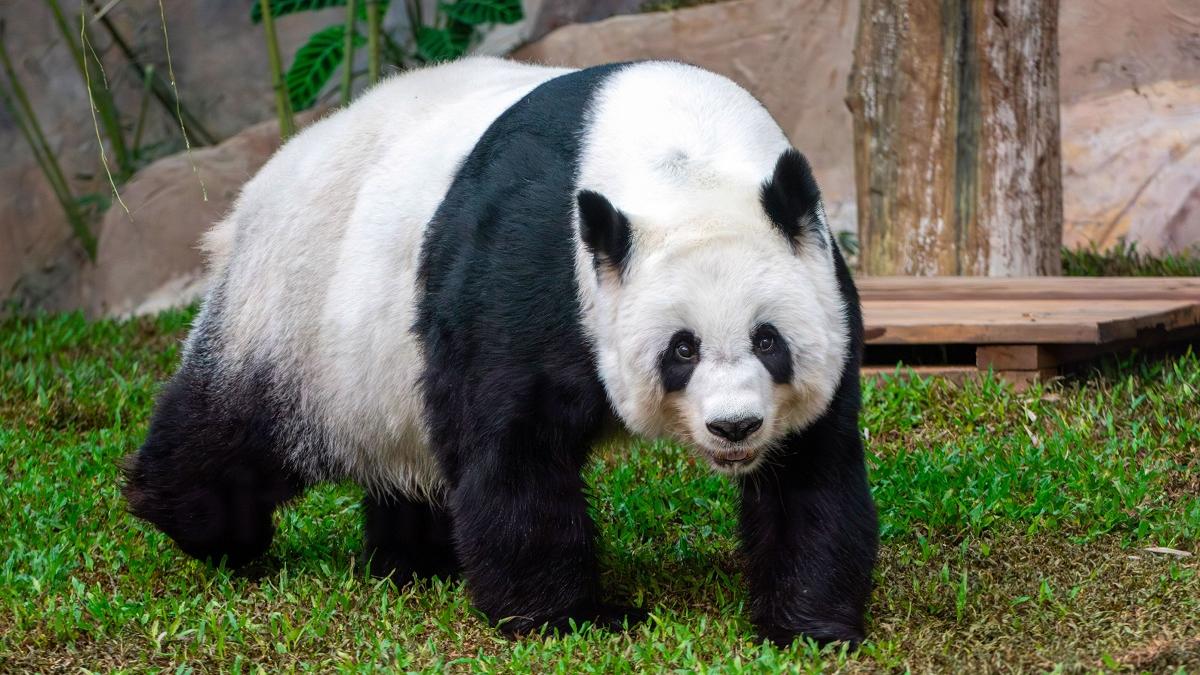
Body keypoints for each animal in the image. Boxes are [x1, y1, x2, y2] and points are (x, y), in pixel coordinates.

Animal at [122, 57, 878, 646]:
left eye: (767, 339)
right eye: (682, 349)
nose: (735, 427)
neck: (681, 158)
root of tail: (258, 188)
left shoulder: (824, 286)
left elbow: (813, 466)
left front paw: (809, 625)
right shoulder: (530, 263)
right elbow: (514, 446)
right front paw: (567, 617)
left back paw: (419, 559)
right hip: (296, 311)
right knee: (233, 425)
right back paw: (201, 524)